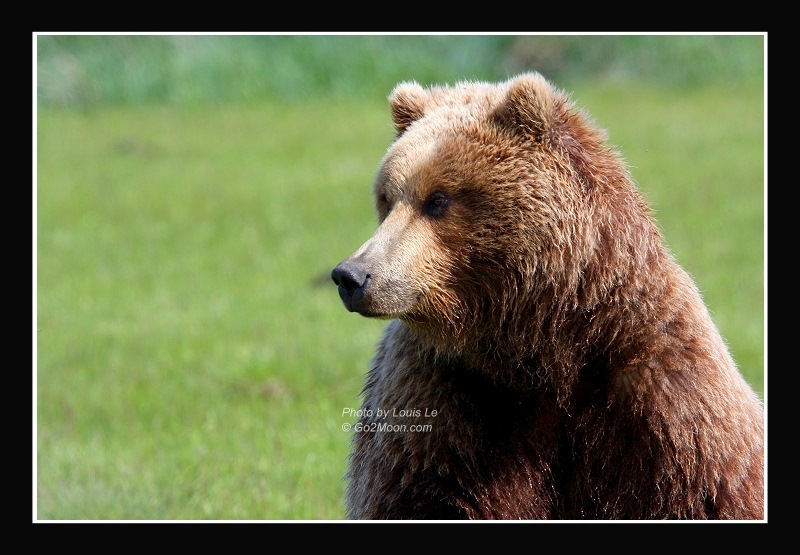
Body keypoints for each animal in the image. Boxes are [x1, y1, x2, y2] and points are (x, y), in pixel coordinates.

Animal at [330, 71, 764, 520]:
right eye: (386, 198)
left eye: (437, 199)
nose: (352, 276)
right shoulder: (445, 397)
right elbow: (416, 492)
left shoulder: (660, 393)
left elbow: (708, 493)